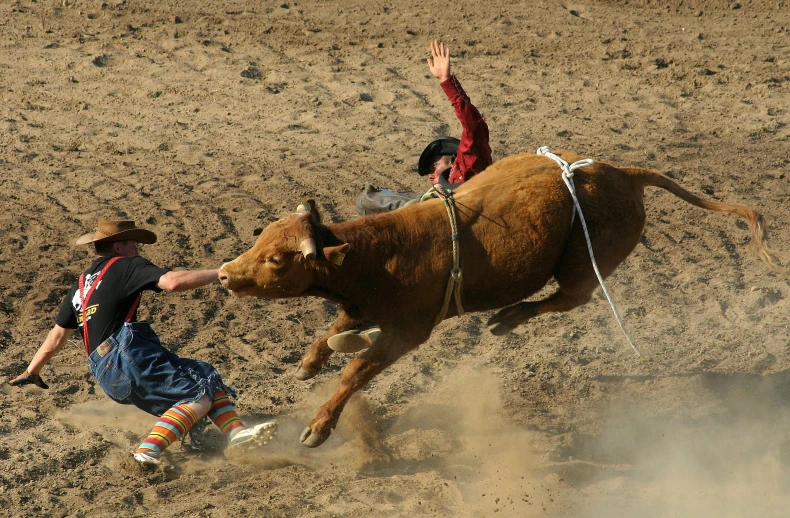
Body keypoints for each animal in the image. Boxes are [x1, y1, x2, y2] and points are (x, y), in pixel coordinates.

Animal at [220, 150, 784, 450]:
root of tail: (623, 173)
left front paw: (317, 428)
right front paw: (308, 364)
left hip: (584, 265)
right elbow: (331, 333)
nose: (225, 274)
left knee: (569, 299)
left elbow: (355, 372)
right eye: (261, 236)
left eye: (278, 260)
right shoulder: (362, 309)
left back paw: (508, 318)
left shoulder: (408, 332)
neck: (382, 253)